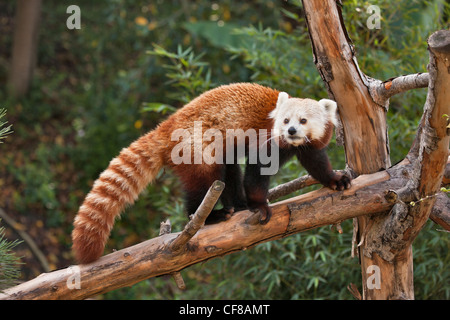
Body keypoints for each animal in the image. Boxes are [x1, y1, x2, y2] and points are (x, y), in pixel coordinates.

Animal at [71, 84, 352, 264]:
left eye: (302, 121)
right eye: (285, 121)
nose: (291, 131)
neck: (291, 143)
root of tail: (165, 127)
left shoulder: (307, 146)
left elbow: (316, 162)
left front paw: (335, 180)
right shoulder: (266, 139)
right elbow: (256, 172)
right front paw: (259, 205)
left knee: (229, 172)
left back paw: (237, 206)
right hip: (196, 148)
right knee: (203, 184)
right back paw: (211, 215)